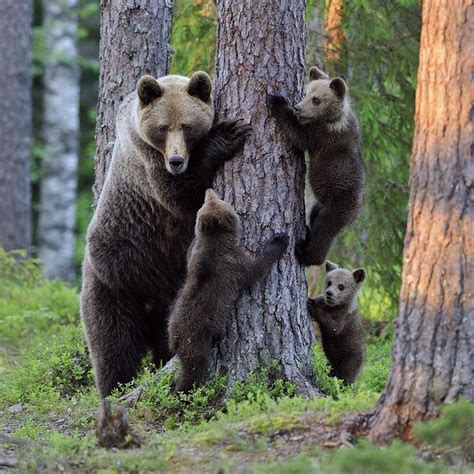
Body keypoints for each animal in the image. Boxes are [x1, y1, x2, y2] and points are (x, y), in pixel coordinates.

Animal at [81, 71, 250, 396]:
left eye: (187, 125)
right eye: (162, 127)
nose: (175, 160)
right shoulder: (147, 161)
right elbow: (179, 195)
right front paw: (228, 134)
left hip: (168, 296)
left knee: (163, 341)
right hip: (115, 279)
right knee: (113, 345)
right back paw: (114, 389)